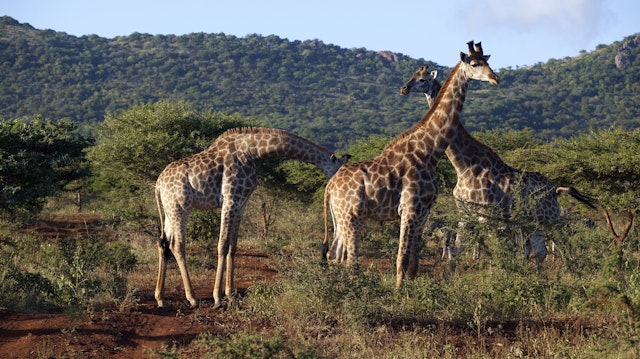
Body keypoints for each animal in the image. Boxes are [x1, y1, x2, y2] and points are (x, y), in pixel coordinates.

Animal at [156, 127, 350, 310]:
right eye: (339, 169)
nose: (338, 183)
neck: (253, 153)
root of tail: (158, 185)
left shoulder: (242, 202)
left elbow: (232, 247)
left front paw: (230, 294)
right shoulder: (230, 199)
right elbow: (222, 245)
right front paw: (217, 299)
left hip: (168, 209)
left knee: (163, 244)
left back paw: (160, 298)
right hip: (180, 207)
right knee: (177, 245)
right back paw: (192, 299)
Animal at [324, 40, 500, 288]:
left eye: (487, 61)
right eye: (474, 64)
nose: (495, 78)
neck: (428, 152)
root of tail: (330, 186)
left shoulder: (423, 212)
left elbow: (414, 262)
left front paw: (410, 291)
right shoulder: (409, 209)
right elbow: (402, 257)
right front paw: (398, 292)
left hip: (340, 217)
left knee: (334, 254)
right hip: (352, 217)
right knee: (350, 260)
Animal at [400, 65, 596, 262]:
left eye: (423, 79)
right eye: (412, 75)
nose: (404, 89)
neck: (463, 165)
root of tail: (555, 189)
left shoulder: (488, 213)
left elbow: (494, 252)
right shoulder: (465, 213)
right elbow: (456, 251)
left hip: (548, 217)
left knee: (564, 245)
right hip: (534, 220)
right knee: (542, 251)